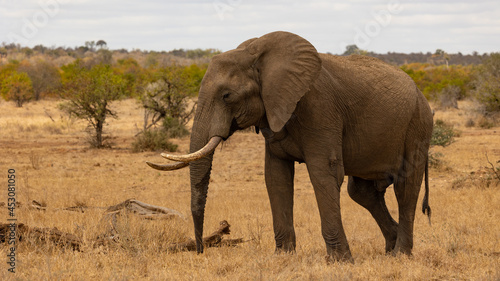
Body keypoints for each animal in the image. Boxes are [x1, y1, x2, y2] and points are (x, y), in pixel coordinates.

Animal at [146, 30, 432, 260]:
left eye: (227, 96)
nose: (200, 250)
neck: (256, 54)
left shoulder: (320, 109)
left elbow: (324, 173)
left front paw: (339, 261)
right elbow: (276, 177)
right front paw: (282, 256)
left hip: (417, 125)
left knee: (405, 188)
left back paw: (401, 255)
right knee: (361, 192)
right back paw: (390, 247)